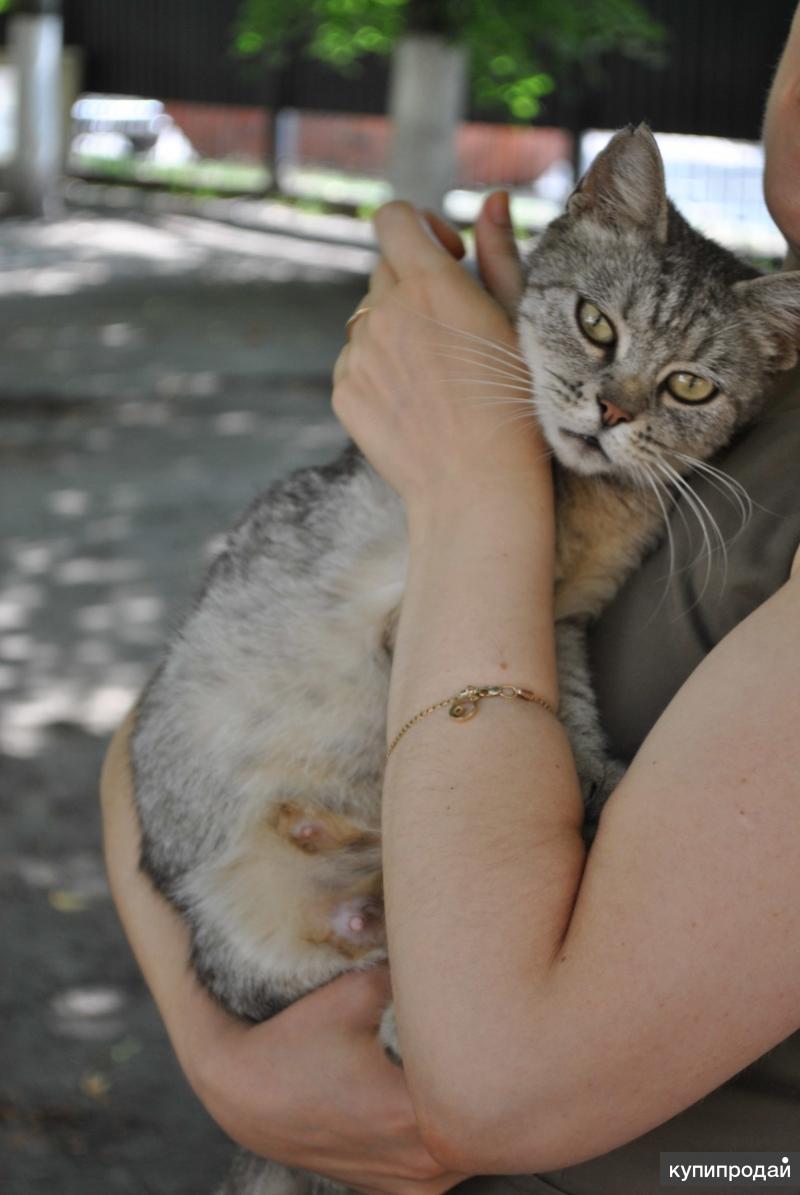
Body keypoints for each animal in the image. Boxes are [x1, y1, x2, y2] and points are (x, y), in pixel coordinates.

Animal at [130, 126, 800, 1190]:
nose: (611, 413)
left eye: (689, 384)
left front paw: (599, 777)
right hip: (250, 945)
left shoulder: (561, 622)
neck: (588, 506)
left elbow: (570, 714)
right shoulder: (417, 613)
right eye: (596, 326)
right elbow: (560, 727)